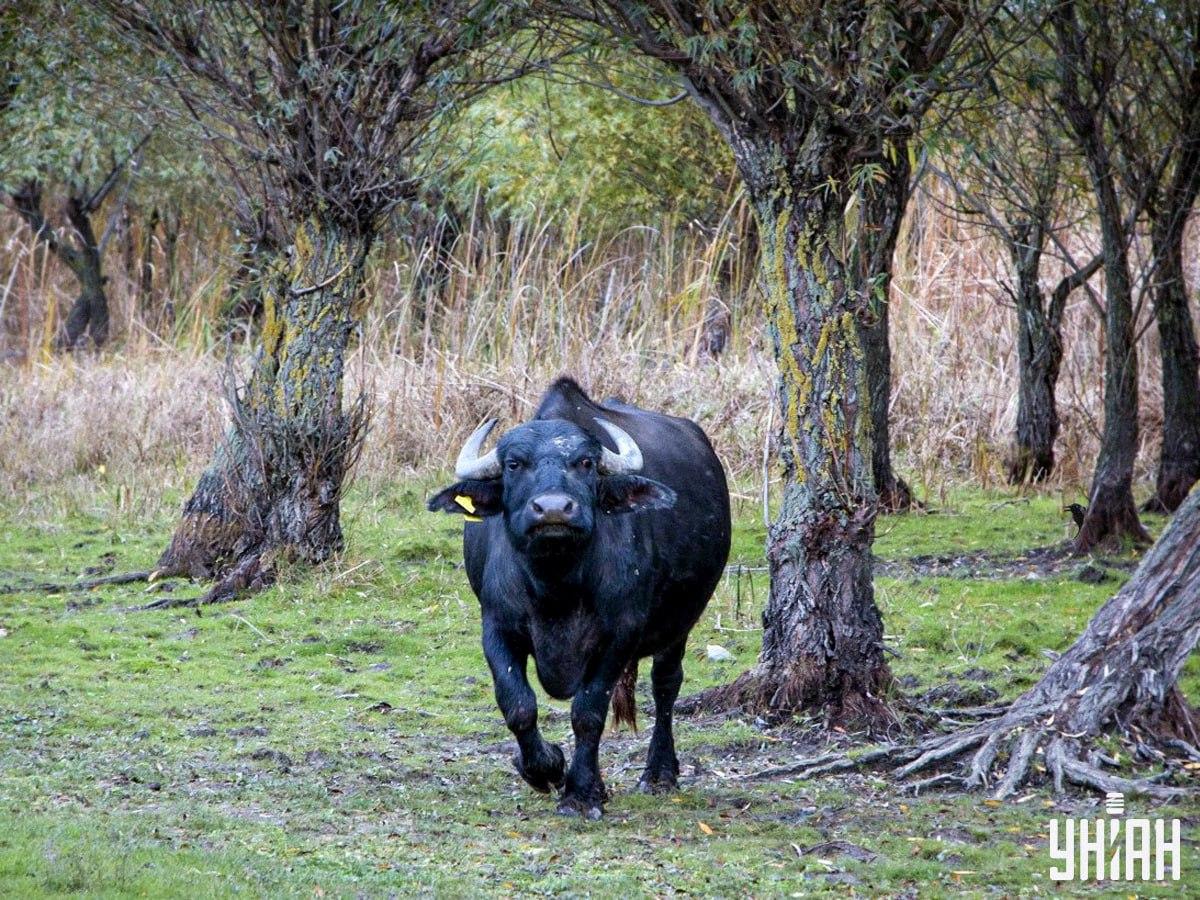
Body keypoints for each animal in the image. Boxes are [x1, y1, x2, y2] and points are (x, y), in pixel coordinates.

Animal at [432, 376, 729, 820]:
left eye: (586, 463)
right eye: (514, 464)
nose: (554, 509)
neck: (557, 586)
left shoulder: (618, 636)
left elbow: (588, 712)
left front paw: (580, 793)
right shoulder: (497, 628)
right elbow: (517, 704)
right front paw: (546, 768)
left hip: (683, 618)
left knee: (666, 684)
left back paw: (659, 773)